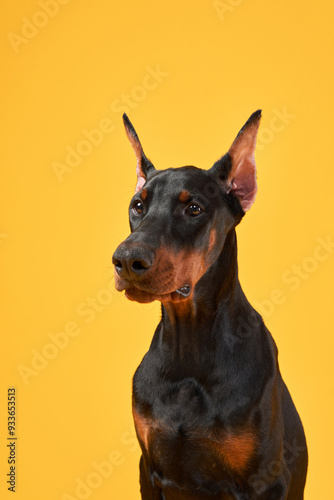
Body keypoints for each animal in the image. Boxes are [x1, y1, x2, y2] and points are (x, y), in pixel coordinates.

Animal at [113, 111, 308, 498]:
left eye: (193, 208)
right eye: (138, 205)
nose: (126, 260)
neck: (190, 348)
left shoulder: (264, 480)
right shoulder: (149, 470)